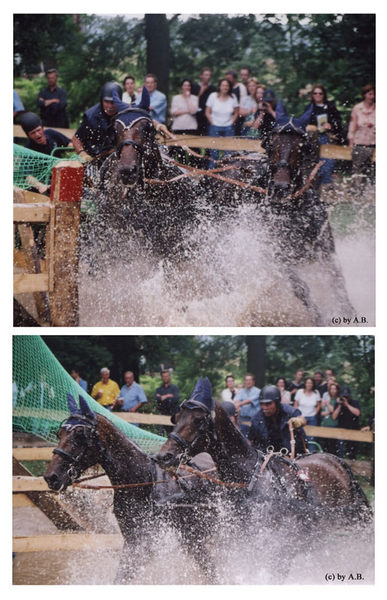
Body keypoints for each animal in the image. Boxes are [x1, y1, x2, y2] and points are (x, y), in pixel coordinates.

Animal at [44, 396, 220, 584]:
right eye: (59, 434)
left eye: (79, 435)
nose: (51, 477)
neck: (144, 481)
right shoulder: (134, 542)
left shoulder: (172, 542)